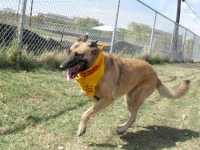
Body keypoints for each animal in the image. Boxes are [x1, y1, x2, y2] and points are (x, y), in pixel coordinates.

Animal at [59, 34, 189, 136]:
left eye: (78, 55)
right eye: (69, 52)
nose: (61, 67)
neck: (95, 67)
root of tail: (156, 76)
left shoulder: (107, 99)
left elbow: (85, 113)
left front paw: (81, 129)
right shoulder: (98, 97)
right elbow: (89, 100)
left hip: (137, 97)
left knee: (133, 115)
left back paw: (122, 129)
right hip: (128, 99)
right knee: (133, 115)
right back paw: (124, 126)